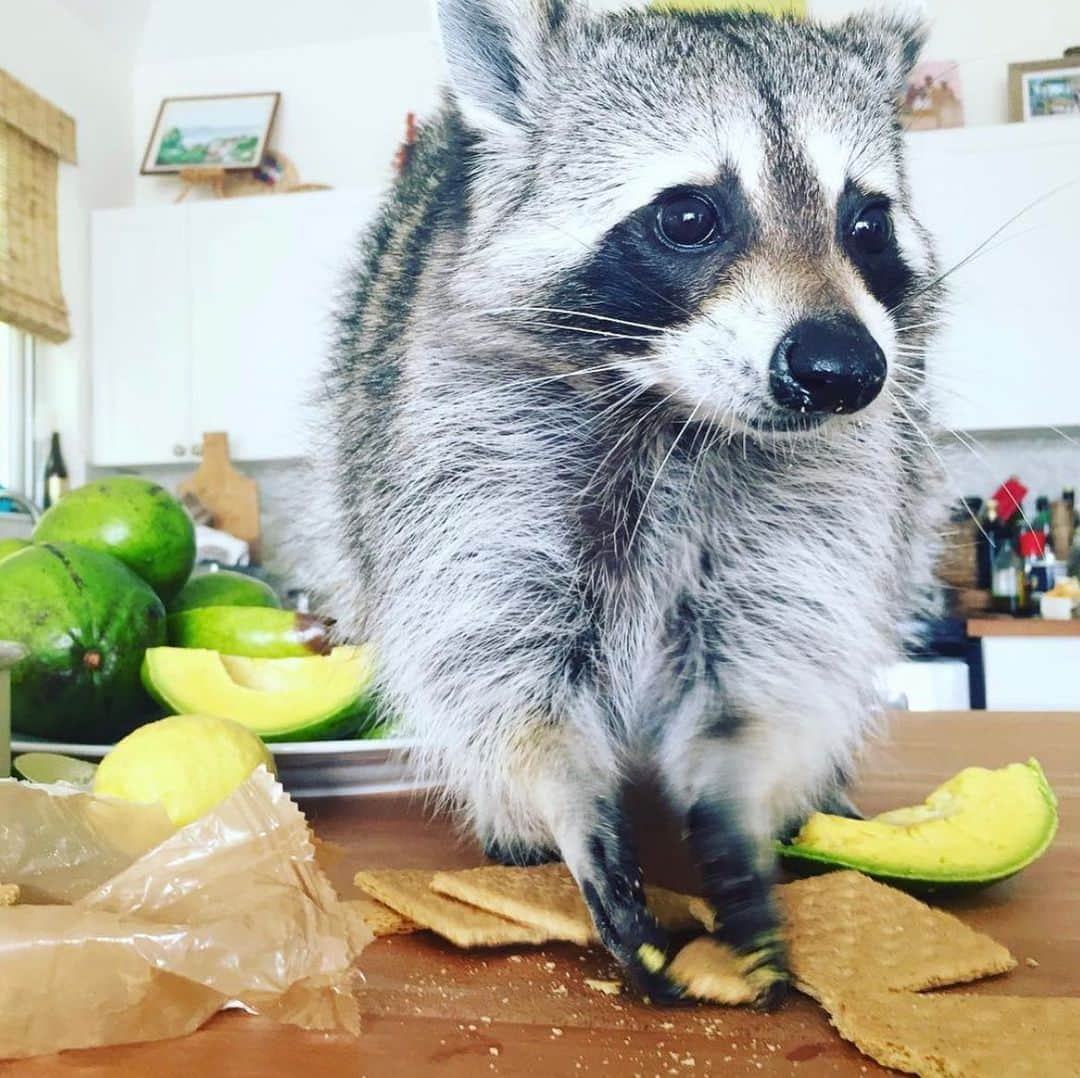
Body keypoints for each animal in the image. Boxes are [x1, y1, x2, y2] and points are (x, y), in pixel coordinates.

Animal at [313, 2, 946, 1011]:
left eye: (866, 221)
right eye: (689, 215)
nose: (843, 370)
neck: (677, 412)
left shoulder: (827, 486)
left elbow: (775, 652)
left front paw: (737, 793)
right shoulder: (465, 445)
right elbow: (494, 663)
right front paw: (569, 802)